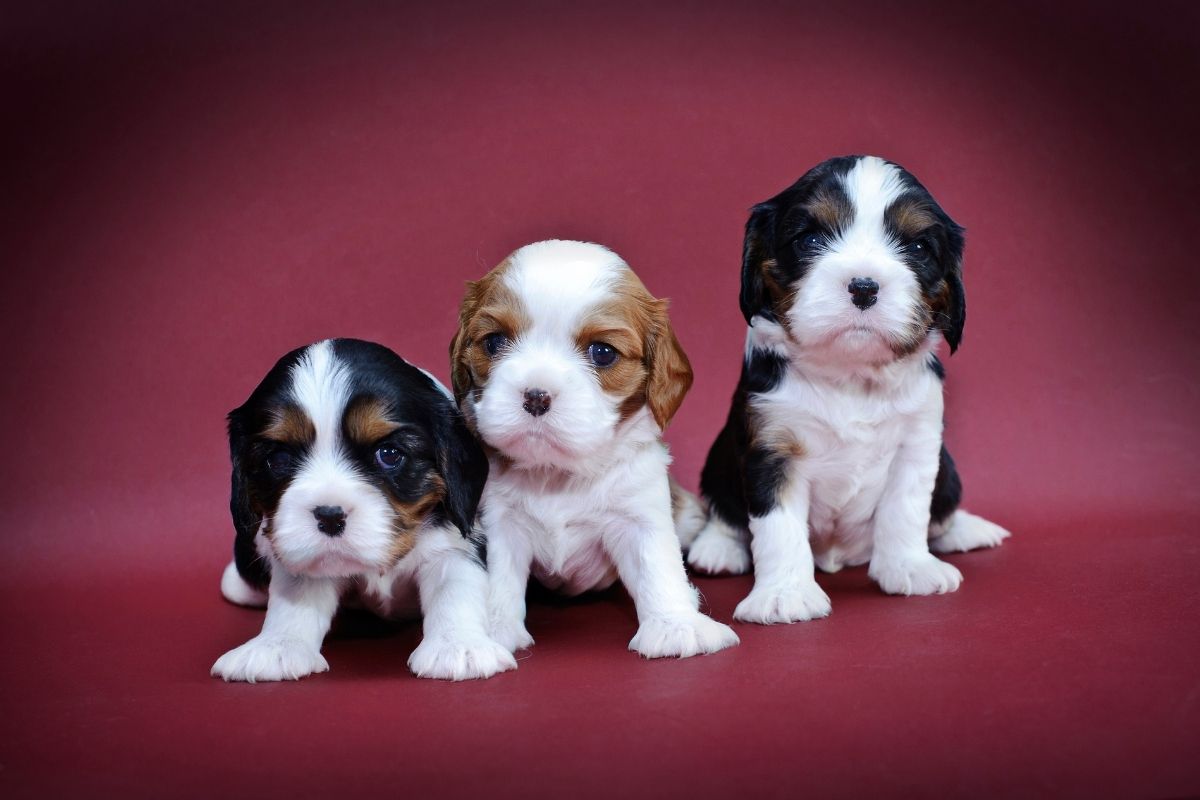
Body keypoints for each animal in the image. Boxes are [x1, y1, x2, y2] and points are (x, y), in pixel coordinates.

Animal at [213, 338, 513, 681]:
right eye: (278, 460)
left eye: (389, 454)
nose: (330, 516)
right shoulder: (300, 553)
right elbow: (295, 594)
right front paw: (276, 647)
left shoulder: (455, 541)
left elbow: (456, 588)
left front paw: (458, 646)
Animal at [451, 241, 739, 662]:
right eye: (493, 342)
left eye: (602, 353)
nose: (536, 396)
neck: (558, 472)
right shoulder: (500, 522)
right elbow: (500, 576)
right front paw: (491, 630)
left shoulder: (639, 515)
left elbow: (658, 566)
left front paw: (677, 625)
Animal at [686, 153, 1012, 623]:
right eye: (809, 239)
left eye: (917, 248)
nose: (863, 286)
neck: (851, 375)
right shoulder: (772, 445)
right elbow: (777, 525)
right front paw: (785, 594)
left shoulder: (919, 441)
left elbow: (907, 508)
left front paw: (910, 567)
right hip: (719, 457)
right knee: (723, 507)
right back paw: (718, 548)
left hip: (948, 469)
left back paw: (966, 530)